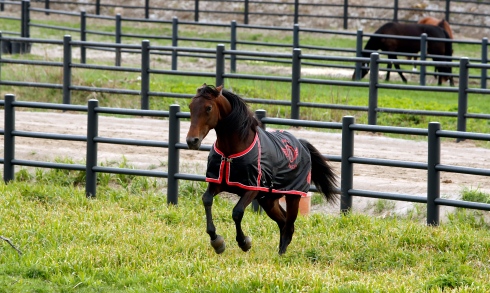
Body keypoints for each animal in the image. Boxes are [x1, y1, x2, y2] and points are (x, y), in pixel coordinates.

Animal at [186, 84, 338, 253]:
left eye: (208, 108)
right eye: (190, 106)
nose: (192, 141)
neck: (230, 153)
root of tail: (301, 143)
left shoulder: (252, 189)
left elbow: (237, 212)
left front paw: (244, 242)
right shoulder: (217, 183)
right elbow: (206, 200)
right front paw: (217, 241)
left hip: (293, 196)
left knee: (289, 225)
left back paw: (281, 253)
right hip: (269, 200)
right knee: (283, 221)